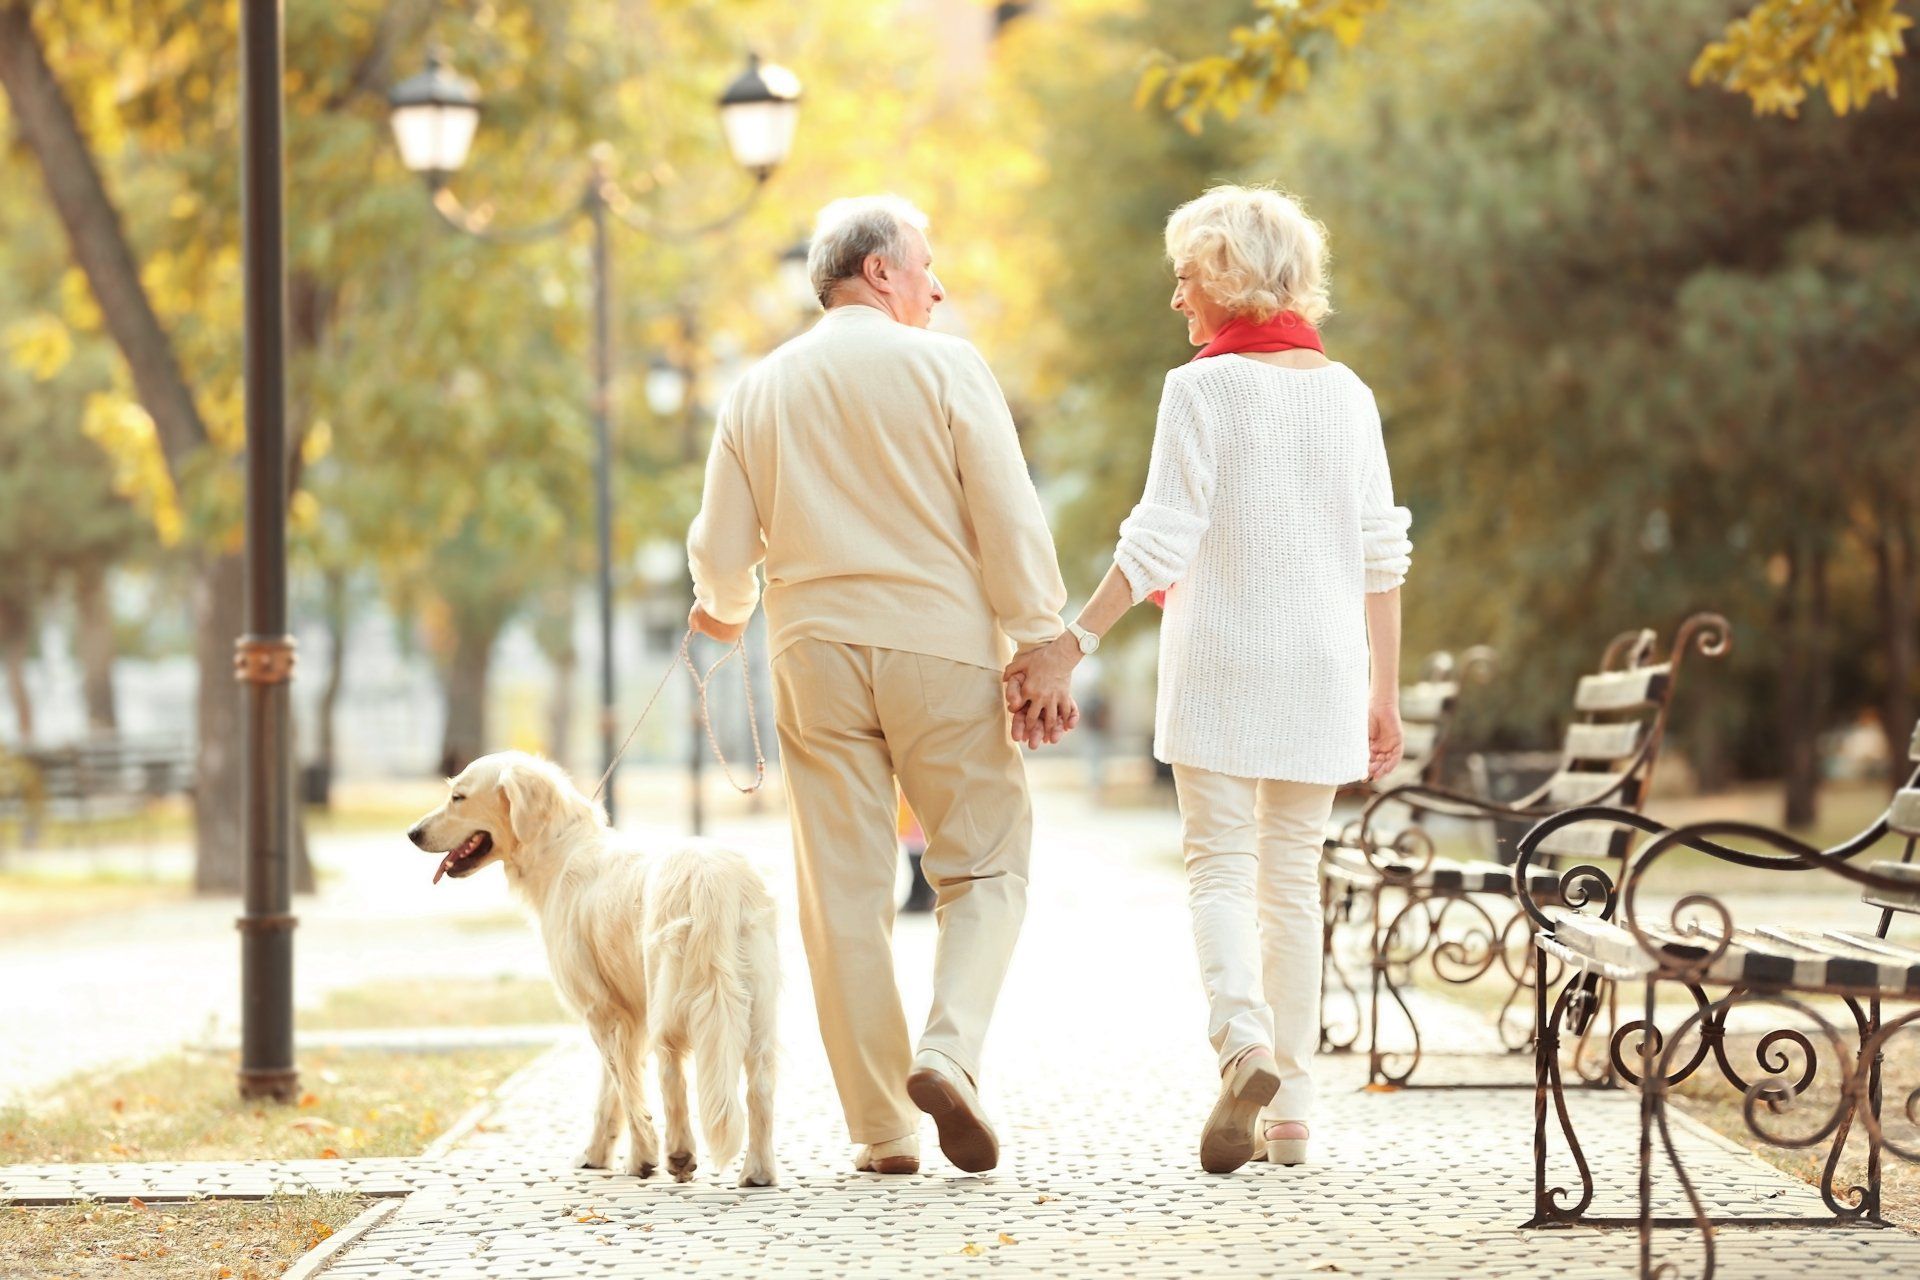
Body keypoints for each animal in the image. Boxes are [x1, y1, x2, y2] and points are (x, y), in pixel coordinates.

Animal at [407, 752, 779, 1189]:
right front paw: (597, 1155)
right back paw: (759, 1171)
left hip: (671, 995)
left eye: (458, 797)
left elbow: (628, 1089)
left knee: (672, 1074)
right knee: (760, 1085)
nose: (412, 833)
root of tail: (712, 878)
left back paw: (680, 1154)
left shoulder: (602, 1012)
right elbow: (612, 1093)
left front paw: (641, 1158)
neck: (559, 847)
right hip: (757, 1007)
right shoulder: (628, 1016)